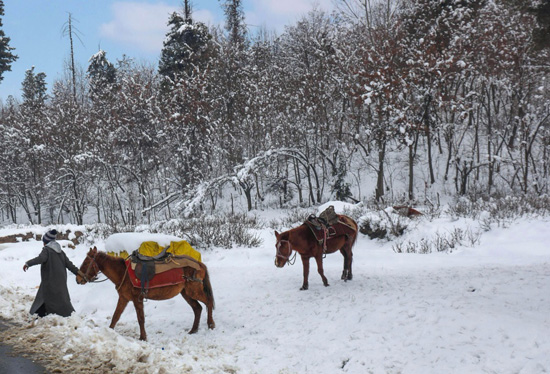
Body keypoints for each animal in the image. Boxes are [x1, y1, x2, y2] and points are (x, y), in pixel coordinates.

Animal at [77, 247, 216, 340]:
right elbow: (116, 316)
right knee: (197, 308)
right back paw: (193, 330)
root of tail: (199, 264)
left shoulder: (137, 299)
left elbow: (140, 319)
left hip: (194, 290)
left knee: (208, 302)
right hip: (186, 293)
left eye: (86, 262)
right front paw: (109, 331)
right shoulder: (124, 298)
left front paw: (143, 337)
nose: (78, 279)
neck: (123, 273)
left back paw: (211, 324)